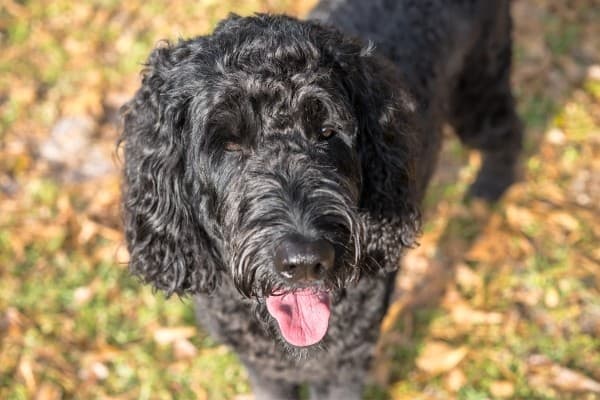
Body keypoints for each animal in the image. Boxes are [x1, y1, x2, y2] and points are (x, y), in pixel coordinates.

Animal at [120, 1, 520, 398]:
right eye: (230, 143)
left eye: (327, 132)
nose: (305, 261)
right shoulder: (263, 369)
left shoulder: (344, 365)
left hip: (478, 88)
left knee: (508, 130)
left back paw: (488, 190)